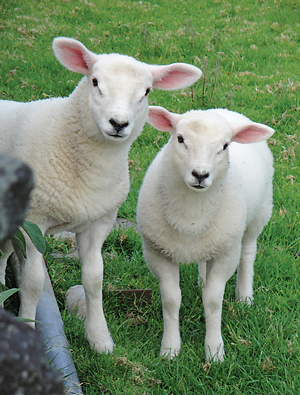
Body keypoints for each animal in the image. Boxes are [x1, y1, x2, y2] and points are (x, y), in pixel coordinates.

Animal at [0, 37, 203, 354]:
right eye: (95, 82)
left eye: (146, 91)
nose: (118, 123)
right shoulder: (36, 222)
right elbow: (32, 283)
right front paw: (28, 329)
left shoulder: (99, 223)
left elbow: (94, 280)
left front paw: (100, 339)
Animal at [137, 104, 276, 362]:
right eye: (180, 139)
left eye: (225, 145)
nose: (200, 174)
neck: (191, 215)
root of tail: (222, 109)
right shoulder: (158, 253)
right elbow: (171, 300)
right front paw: (170, 350)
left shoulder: (226, 254)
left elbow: (212, 301)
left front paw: (214, 352)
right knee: (204, 260)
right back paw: (202, 280)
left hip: (259, 214)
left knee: (248, 253)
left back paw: (245, 296)